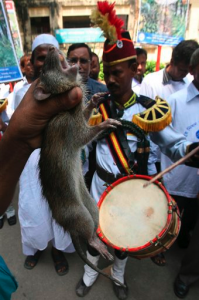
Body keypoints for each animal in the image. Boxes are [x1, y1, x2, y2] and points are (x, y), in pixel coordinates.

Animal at [34, 45, 124, 288]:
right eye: (44, 68)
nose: (53, 47)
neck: (64, 110)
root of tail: (70, 228)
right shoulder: (69, 127)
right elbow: (83, 136)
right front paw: (106, 122)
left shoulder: (77, 116)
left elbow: (85, 114)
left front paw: (94, 101)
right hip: (78, 214)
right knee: (88, 235)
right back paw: (98, 244)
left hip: (90, 204)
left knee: (94, 221)